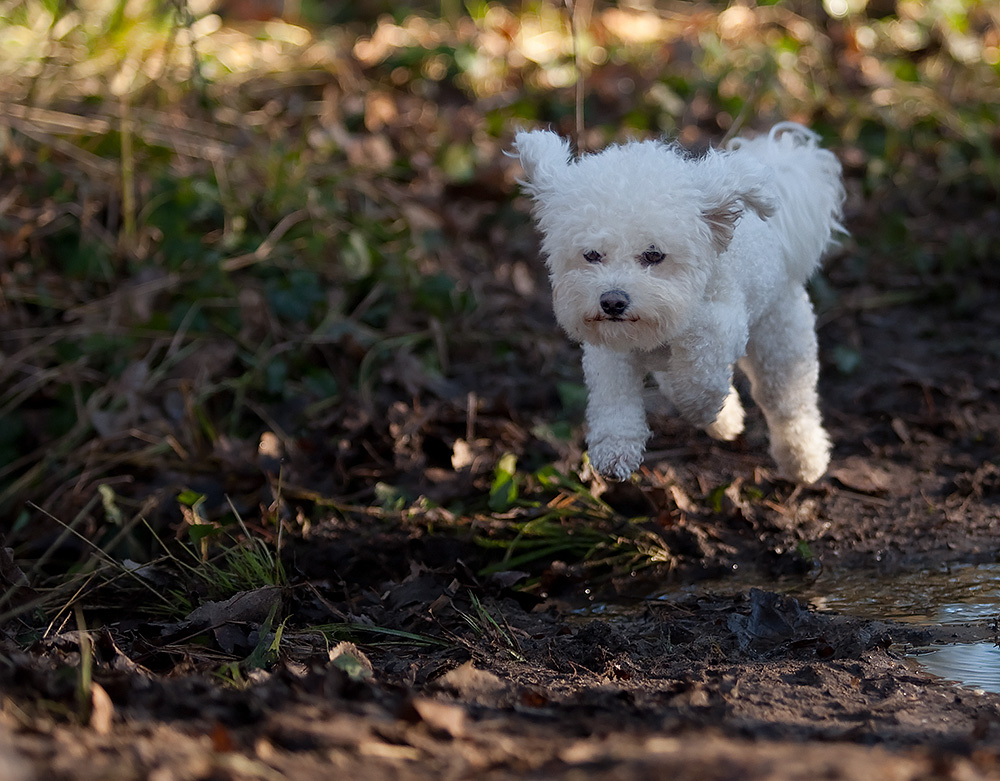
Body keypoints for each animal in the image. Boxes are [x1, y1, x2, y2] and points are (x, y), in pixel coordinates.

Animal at [516, 122, 844, 482]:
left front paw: (704, 408)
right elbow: (613, 392)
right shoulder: (610, 351)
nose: (612, 302)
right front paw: (615, 447)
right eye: (591, 254)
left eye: (653, 255)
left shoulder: (723, 324)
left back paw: (803, 459)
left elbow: (700, 366)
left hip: (781, 341)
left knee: (788, 402)